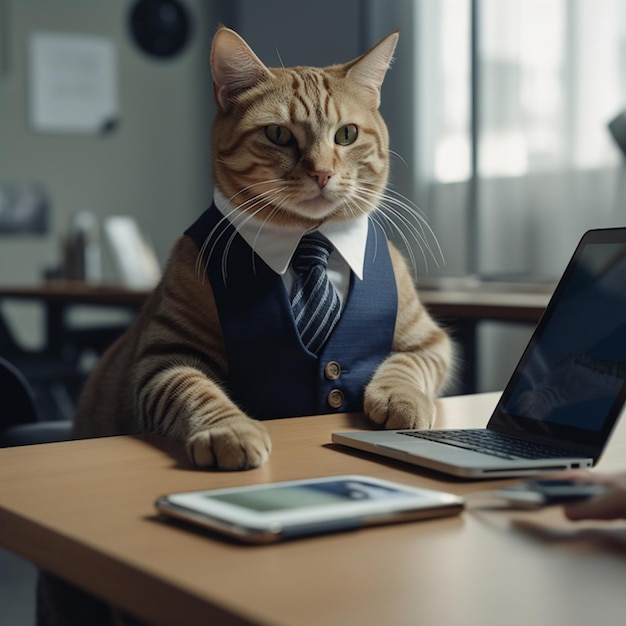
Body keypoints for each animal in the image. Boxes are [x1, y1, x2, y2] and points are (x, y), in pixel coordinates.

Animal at [73, 26, 450, 470]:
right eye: (278, 134)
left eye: (346, 134)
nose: (322, 173)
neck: (309, 239)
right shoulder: (162, 356)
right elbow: (193, 390)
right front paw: (229, 430)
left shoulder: (426, 339)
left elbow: (407, 364)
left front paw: (398, 397)